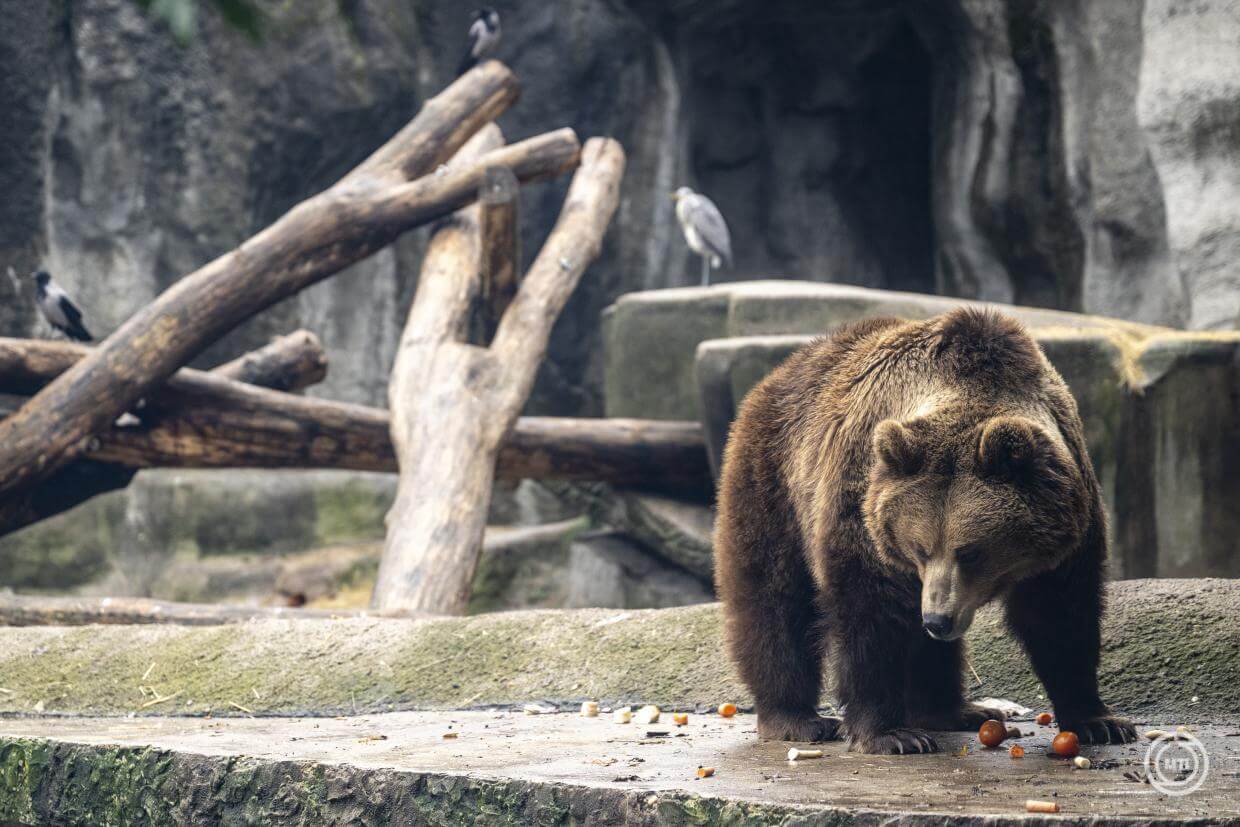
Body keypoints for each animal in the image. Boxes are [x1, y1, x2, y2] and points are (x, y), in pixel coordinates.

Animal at [713, 309, 1137, 754]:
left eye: (971, 551)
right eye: (919, 548)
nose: (936, 619)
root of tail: (783, 370)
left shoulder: (1068, 519)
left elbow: (1061, 613)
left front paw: (1098, 720)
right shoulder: (862, 501)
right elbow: (870, 611)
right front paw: (890, 734)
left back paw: (957, 710)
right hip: (773, 480)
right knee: (774, 598)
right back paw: (795, 717)